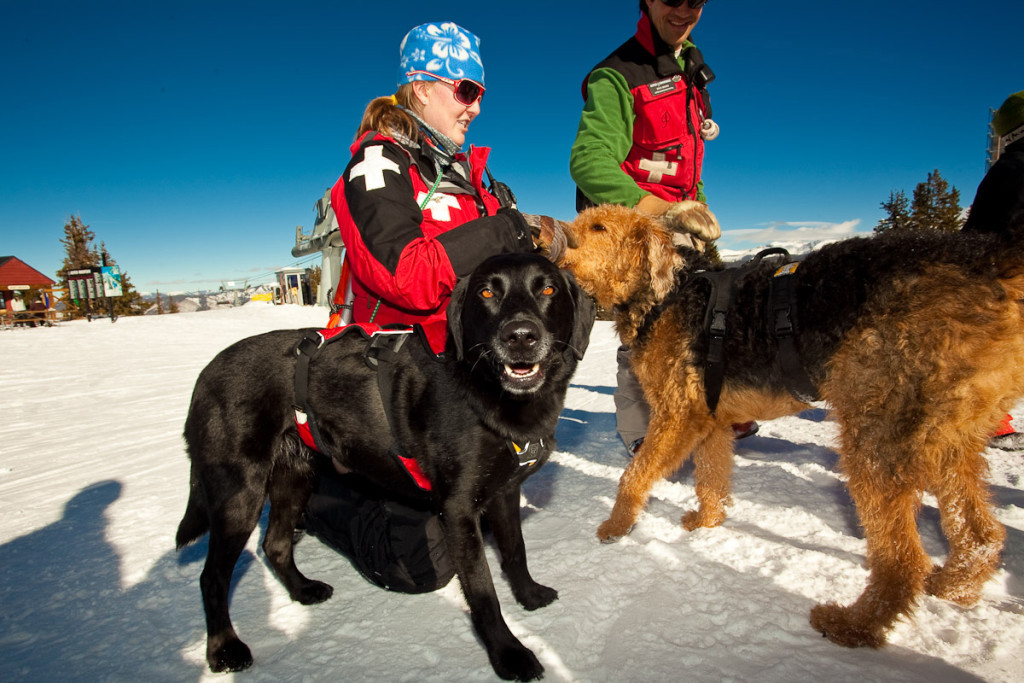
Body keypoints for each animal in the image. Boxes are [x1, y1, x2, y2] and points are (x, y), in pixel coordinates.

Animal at [173, 253, 598, 679]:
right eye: (487, 293)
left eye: (548, 289)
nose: (520, 336)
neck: (486, 391)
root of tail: (205, 375)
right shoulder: (458, 511)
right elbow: (482, 591)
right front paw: (508, 654)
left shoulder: (505, 492)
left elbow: (515, 551)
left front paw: (529, 595)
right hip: (239, 494)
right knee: (212, 577)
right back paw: (224, 649)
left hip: (296, 477)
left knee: (274, 543)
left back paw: (302, 590)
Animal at [561, 204, 1024, 651]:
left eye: (599, 227)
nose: (552, 233)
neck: (667, 295)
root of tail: (992, 260)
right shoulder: (712, 421)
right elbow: (711, 479)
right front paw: (706, 523)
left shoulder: (678, 415)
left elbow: (634, 477)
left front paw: (615, 527)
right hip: (946, 435)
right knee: (979, 532)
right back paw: (952, 587)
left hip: (876, 434)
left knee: (903, 560)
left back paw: (852, 625)